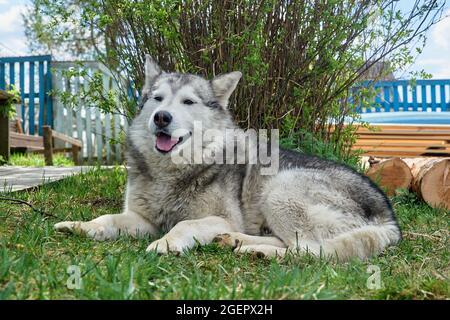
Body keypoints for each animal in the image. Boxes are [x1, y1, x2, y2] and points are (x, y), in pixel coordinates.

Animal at [54, 55, 402, 260]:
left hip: (279, 191)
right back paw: (236, 242)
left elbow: (184, 225)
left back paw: (255, 250)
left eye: (188, 102)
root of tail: (389, 217)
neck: (173, 172)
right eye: (157, 99)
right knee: (296, 244)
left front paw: (166, 244)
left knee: (310, 251)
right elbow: (108, 219)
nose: (161, 117)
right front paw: (81, 226)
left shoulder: (218, 218)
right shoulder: (143, 220)